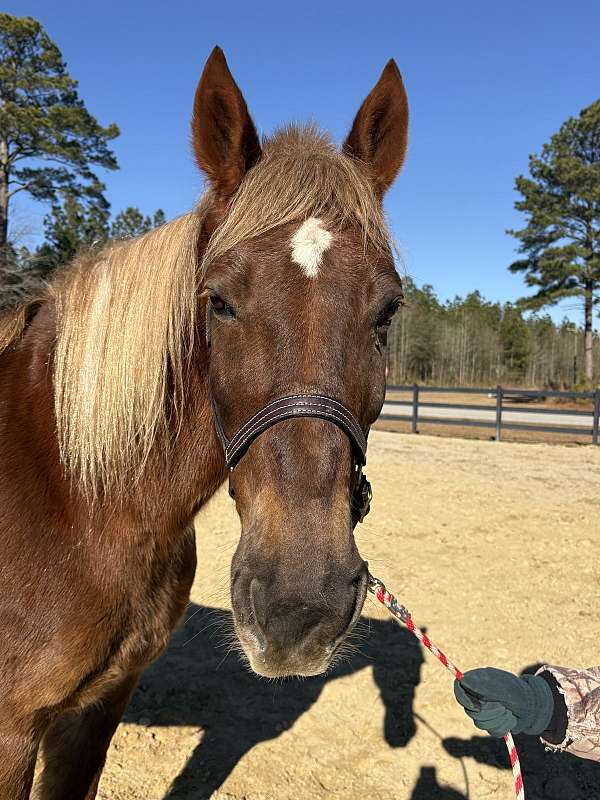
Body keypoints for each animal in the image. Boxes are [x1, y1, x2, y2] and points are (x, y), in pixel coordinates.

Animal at [0, 47, 408, 796]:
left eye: (388, 309)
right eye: (218, 301)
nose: (298, 606)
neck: (76, 498)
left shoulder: (98, 707)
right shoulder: (12, 729)